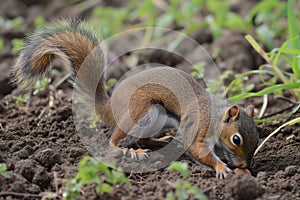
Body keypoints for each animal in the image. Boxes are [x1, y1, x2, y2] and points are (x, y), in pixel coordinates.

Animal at [12, 21, 258, 179]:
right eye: (236, 139)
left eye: (257, 137)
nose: (246, 163)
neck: (216, 118)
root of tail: (109, 106)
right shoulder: (199, 127)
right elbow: (198, 150)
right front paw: (222, 168)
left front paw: (240, 171)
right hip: (141, 112)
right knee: (115, 139)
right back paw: (129, 151)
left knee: (143, 138)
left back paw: (159, 141)